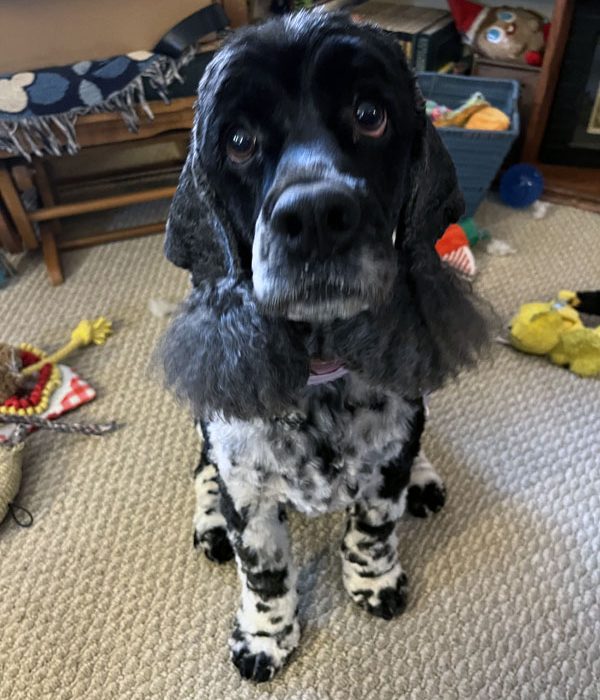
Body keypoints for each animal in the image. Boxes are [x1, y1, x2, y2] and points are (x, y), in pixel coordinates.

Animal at [162, 10, 490, 684]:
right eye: (239, 140)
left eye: (370, 114)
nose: (314, 217)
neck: (320, 377)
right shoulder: (247, 485)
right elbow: (262, 572)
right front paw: (265, 638)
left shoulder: (385, 463)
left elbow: (373, 529)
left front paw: (374, 582)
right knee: (202, 469)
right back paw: (208, 522)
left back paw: (424, 479)